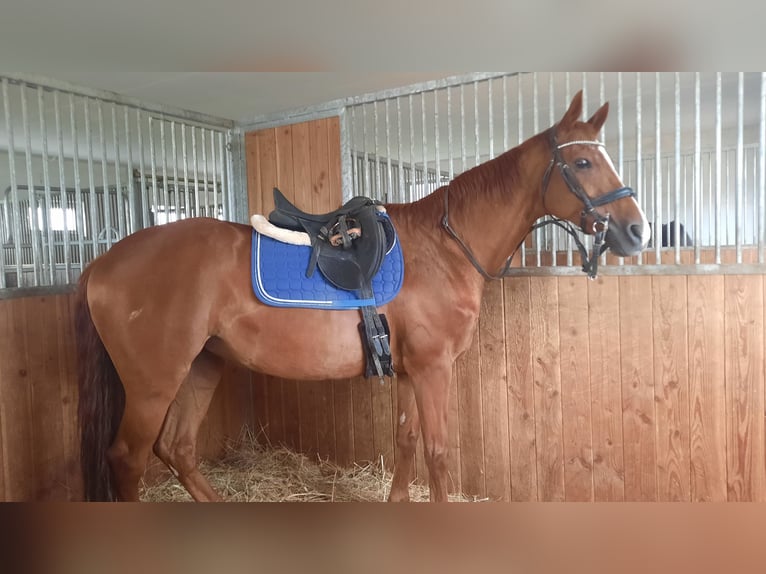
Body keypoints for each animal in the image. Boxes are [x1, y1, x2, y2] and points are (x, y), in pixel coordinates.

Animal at [78, 92, 652, 502]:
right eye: (582, 163)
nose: (637, 231)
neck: (443, 247)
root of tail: (102, 265)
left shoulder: (409, 371)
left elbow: (405, 444)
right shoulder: (432, 369)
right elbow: (438, 454)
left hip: (203, 365)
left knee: (176, 448)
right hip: (154, 383)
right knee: (128, 458)